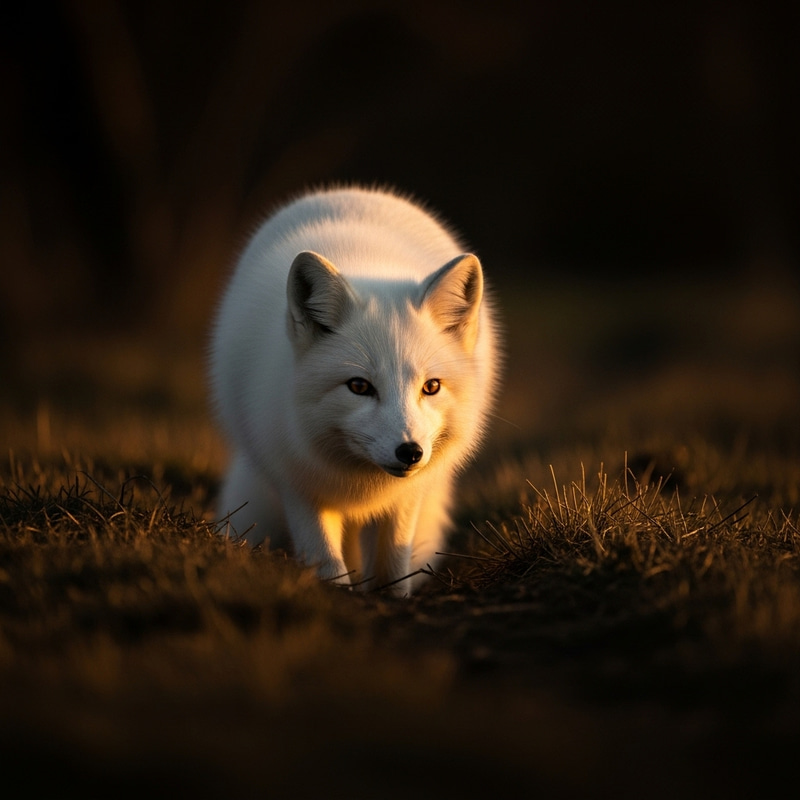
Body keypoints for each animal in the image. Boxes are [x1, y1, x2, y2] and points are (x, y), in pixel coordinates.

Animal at [210, 186, 500, 594]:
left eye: (431, 387)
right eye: (359, 386)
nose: (410, 452)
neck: (362, 482)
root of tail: (351, 190)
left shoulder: (406, 497)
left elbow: (394, 565)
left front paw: (393, 599)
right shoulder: (298, 484)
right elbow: (328, 562)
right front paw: (338, 595)